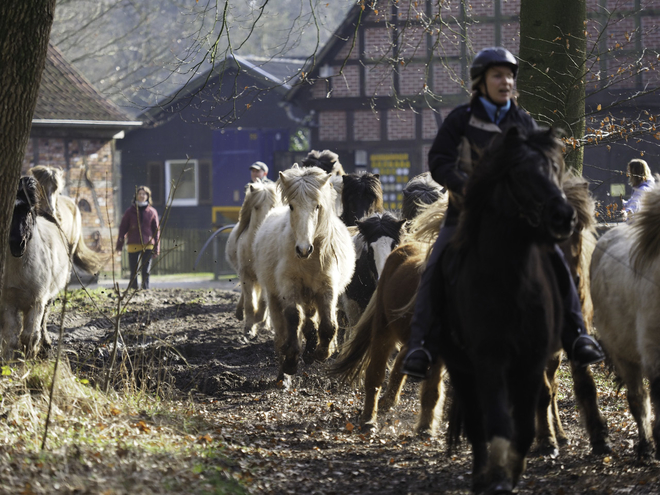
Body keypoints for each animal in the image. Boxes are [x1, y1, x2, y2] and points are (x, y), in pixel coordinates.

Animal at [0, 177, 98, 360]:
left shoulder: (37, 300)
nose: (17, 244)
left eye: (28, 211)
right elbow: (10, 335)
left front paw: (30, 356)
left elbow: (30, 334)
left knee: (43, 321)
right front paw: (11, 358)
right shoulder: (8, 301)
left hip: (48, 298)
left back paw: (45, 345)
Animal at [226, 180, 280, 340]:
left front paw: (259, 321)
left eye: (273, 205)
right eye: (256, 207)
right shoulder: (246, 275)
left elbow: (262, 303)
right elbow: (250, 303)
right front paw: (249, 328)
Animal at [253, 165, 356, 382]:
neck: (309, 261)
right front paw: (291, 360)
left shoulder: (327, 288)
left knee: (311, 321)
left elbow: (328, 324)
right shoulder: (289, 285)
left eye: (317, 206)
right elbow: (294, 317)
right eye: (292, 206)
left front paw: (322, 352)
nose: (303, 249)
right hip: (275, 296)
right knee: (282, 329)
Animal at [436, 128, 576, 495]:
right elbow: (496, 421)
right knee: (476, 419)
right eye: (520, 173)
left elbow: (525, 422)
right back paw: (480, 474)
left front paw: (514, 471)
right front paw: (497, 476)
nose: (564, 216)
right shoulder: (490, 358)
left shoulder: (532, 359)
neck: (512, 281)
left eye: (555, 168)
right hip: (461, 366)